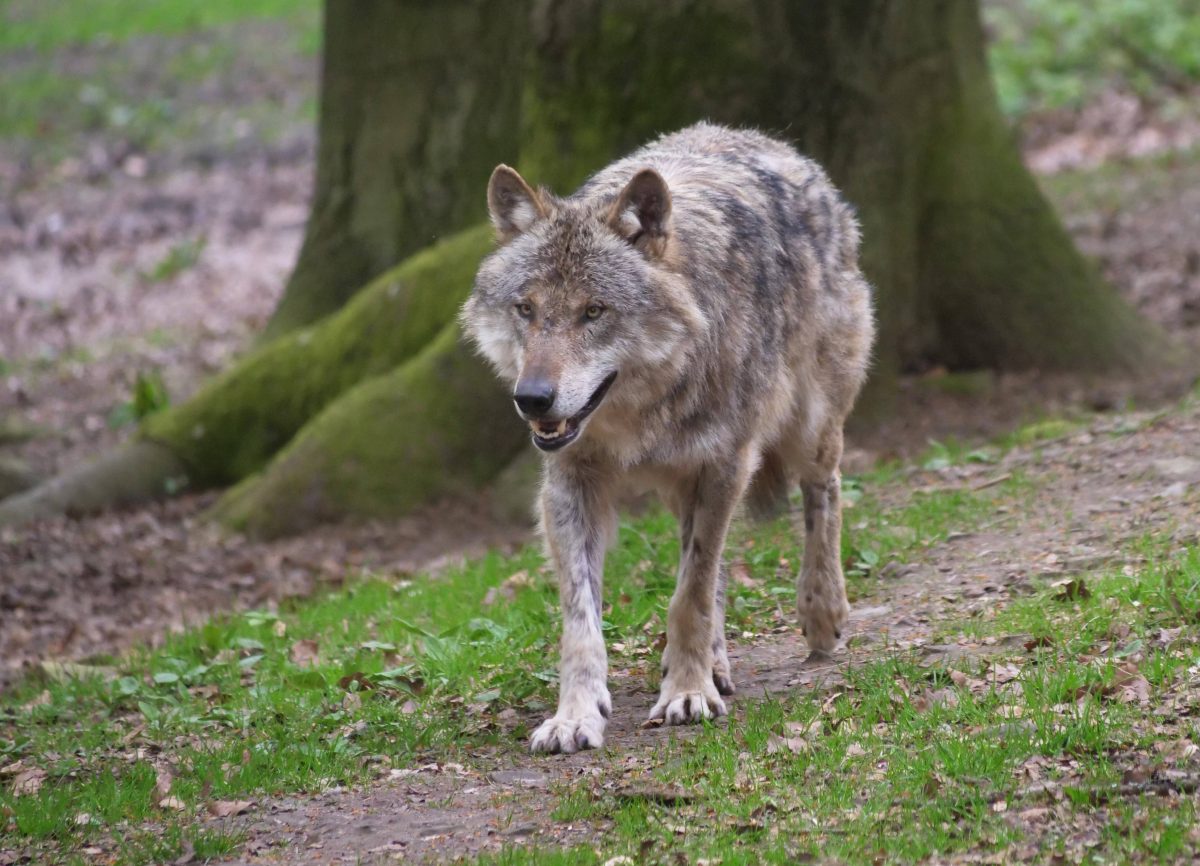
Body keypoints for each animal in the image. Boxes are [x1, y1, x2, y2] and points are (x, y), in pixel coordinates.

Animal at [458, 121, 873, 748]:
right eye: (526, 309)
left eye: (594, 311)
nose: (531, 399)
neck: (643, 415)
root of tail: (765, 141)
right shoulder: (570, 484)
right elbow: (582, 618)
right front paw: (575, 715)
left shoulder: (725, 464)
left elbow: (689, 594)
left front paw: (686, 692)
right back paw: (719, 663)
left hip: (809, 427)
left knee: (822, 494)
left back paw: (821, 612)